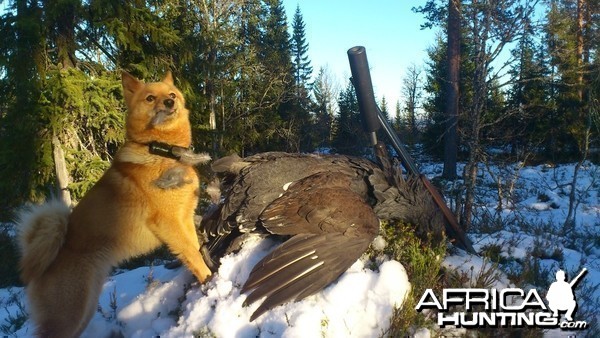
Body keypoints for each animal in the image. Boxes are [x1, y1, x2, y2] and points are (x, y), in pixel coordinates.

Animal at [17, 71, 213, 338]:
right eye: (150, 98)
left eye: (172, 94)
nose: (169, 102)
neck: (162, 151)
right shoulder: (168, 223)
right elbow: (192, 252)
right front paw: (209, 279)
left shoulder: (184, 218)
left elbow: (194, 248)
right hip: (68, 315)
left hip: (84, 309)